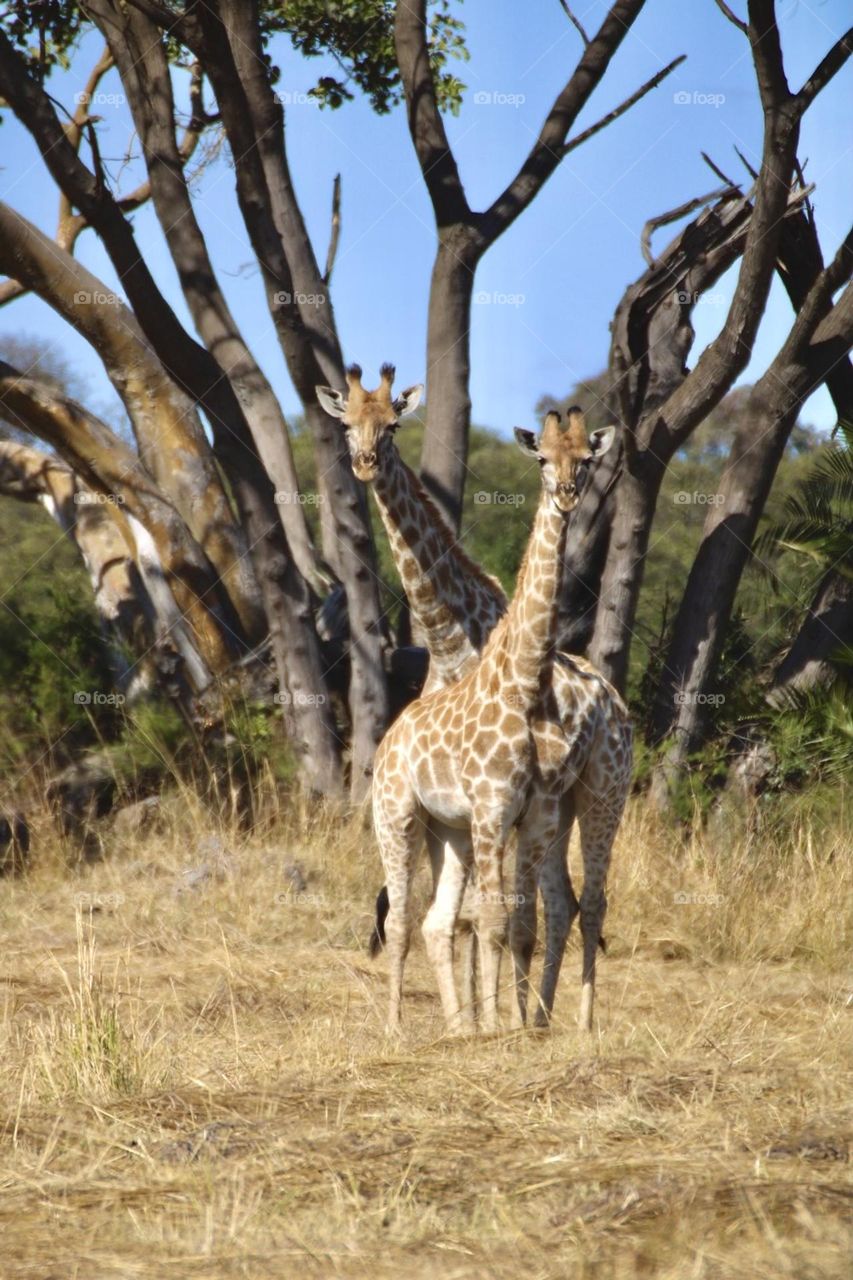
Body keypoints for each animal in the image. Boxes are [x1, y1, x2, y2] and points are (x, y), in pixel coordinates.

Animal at [315, 366, 627, 1034]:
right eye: (346, 422)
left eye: (394, 424)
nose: (364, 463)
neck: (451, 637)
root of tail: (613, 699)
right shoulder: (473, 812)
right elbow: (470, 919)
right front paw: (479, 1022)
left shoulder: (506, 811)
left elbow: (492, 918)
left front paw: (493, 1020)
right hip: (513, 813)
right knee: (540, 904)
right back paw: (528, 1017)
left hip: (600, 794)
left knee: (580, 902)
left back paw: (569, 1022)